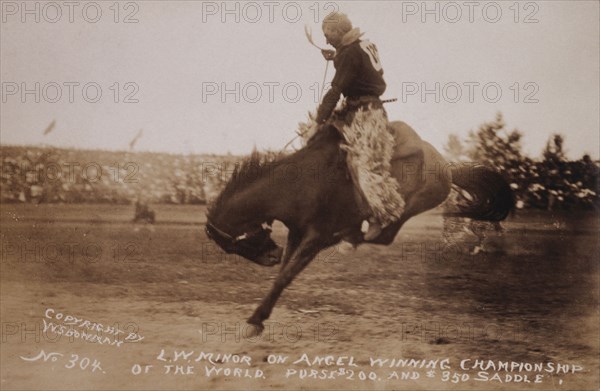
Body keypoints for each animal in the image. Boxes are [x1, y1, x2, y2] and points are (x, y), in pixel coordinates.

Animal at [204, 120, 512, 334]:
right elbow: (285, 273)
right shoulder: (296, 232)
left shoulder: (316, 236)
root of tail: (447, 165)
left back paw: (352, 237)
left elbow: (286, 275)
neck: (297, 185)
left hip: (411, 205)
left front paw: (254, 320)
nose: (272, 255)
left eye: (234, 244)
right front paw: (262, 315)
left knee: (385, 234)